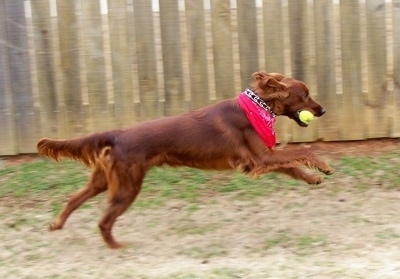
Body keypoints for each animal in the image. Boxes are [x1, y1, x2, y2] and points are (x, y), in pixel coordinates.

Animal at [36, 72, 332, 249]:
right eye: (305, 95)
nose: (323, 110)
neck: (258, 108)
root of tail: (118, 134)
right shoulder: (261, 157)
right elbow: (301, 154)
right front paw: (324, 166)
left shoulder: (261, 160)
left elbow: (292, 167)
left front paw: (313, 177)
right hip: (127, 186)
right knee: (104, 221)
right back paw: (117, 247)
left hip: (103, 180)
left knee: (73, 200)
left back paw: (57, 225)